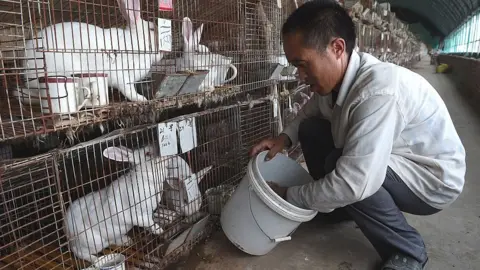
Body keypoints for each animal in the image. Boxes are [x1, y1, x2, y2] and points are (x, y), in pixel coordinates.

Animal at [16, 0, 163, 104]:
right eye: (151, 29)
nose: (163, 53)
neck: (135, 43)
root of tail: (27, 71)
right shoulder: (123, 77)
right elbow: (129, 91)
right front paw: (142, 99)